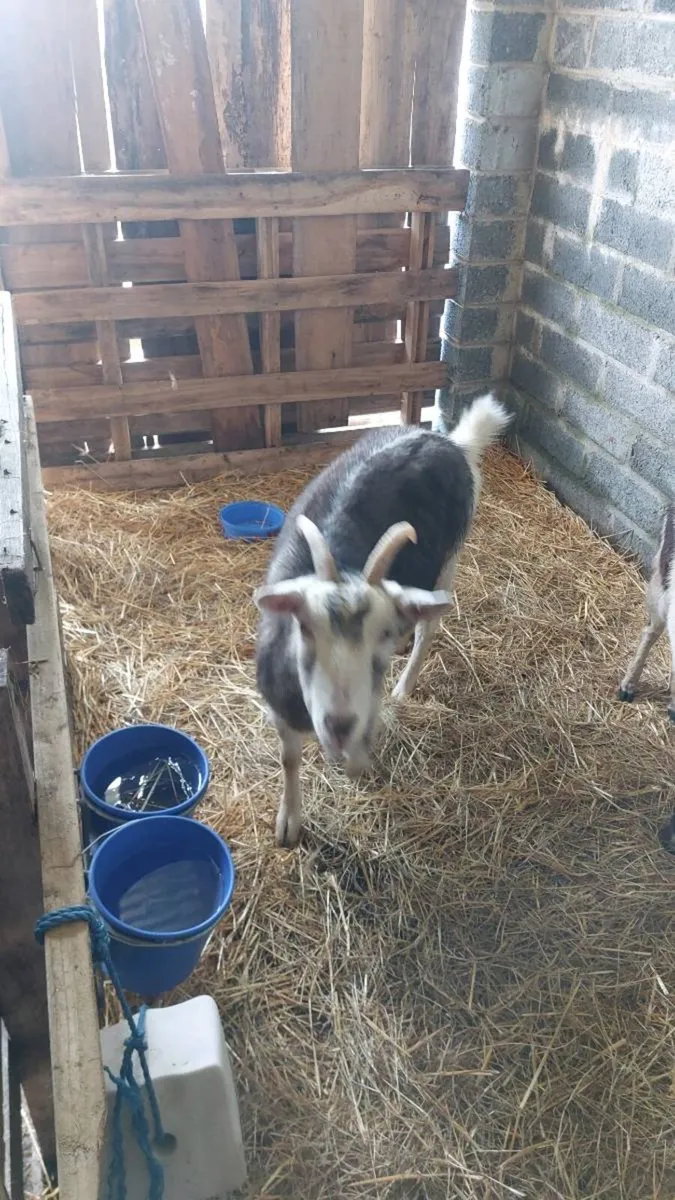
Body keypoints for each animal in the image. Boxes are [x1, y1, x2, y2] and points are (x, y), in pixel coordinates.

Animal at [254, 393, 512, 847]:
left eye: (381, 636)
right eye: (305, 628)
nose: (339, 724)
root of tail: (448, 440)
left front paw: (356, 765)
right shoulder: (279, 704)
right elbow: (288, 758)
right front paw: (289, 821)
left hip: (449, 561)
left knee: (428, 629)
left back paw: (405, 685)